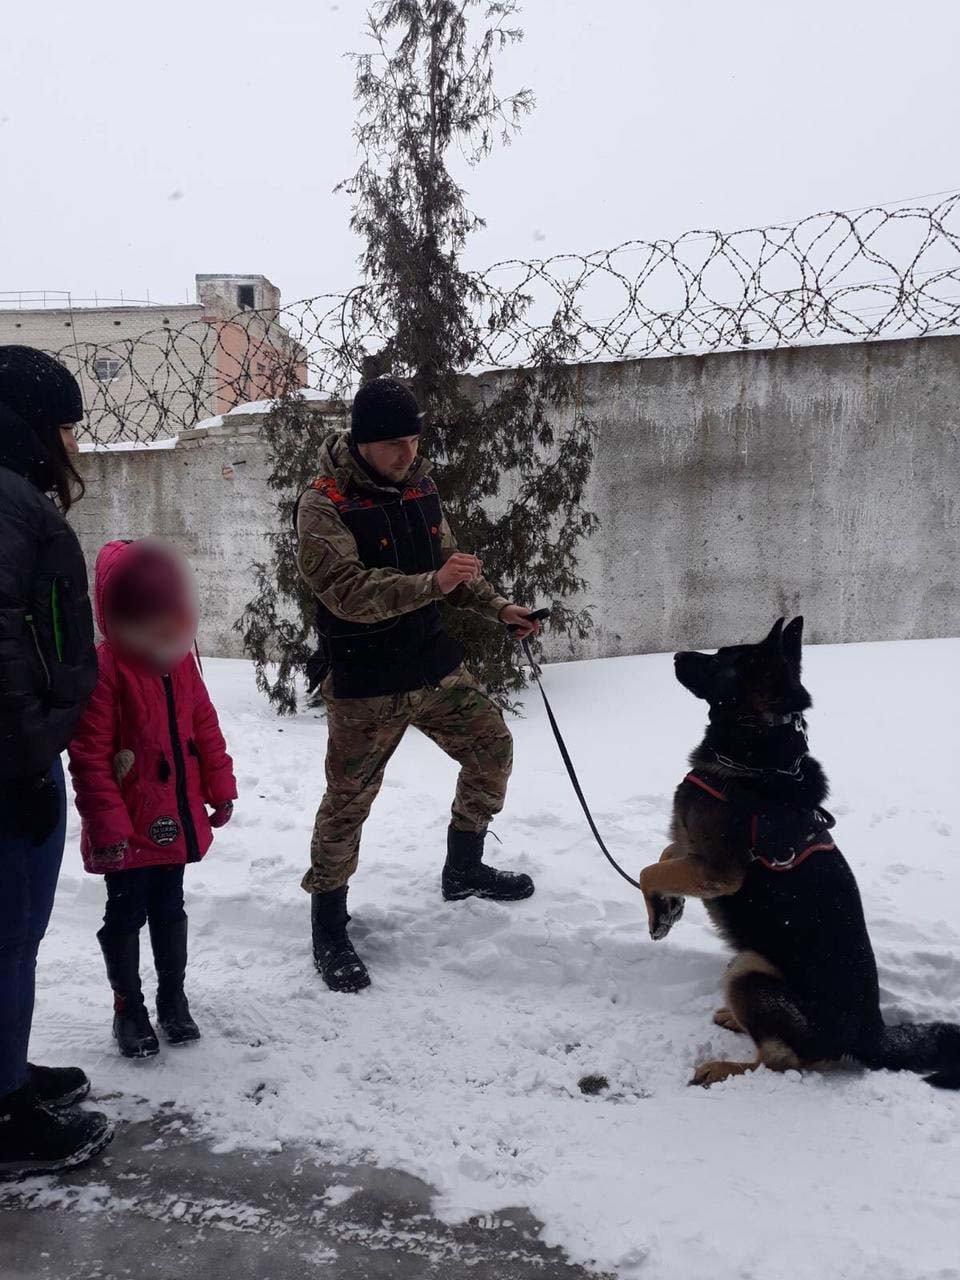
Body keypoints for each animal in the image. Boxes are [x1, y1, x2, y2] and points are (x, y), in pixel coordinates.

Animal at [640, 619, 960, 1090]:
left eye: (721, 658)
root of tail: (871, 1033)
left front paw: (661, 911)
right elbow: (664, 856)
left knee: (782, 1061)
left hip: (748, 967)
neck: (756, 757)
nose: (677, 655)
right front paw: (668, 909)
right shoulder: (694, 851)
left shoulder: (719, 871)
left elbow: (648, 870)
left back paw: (724, 1067)